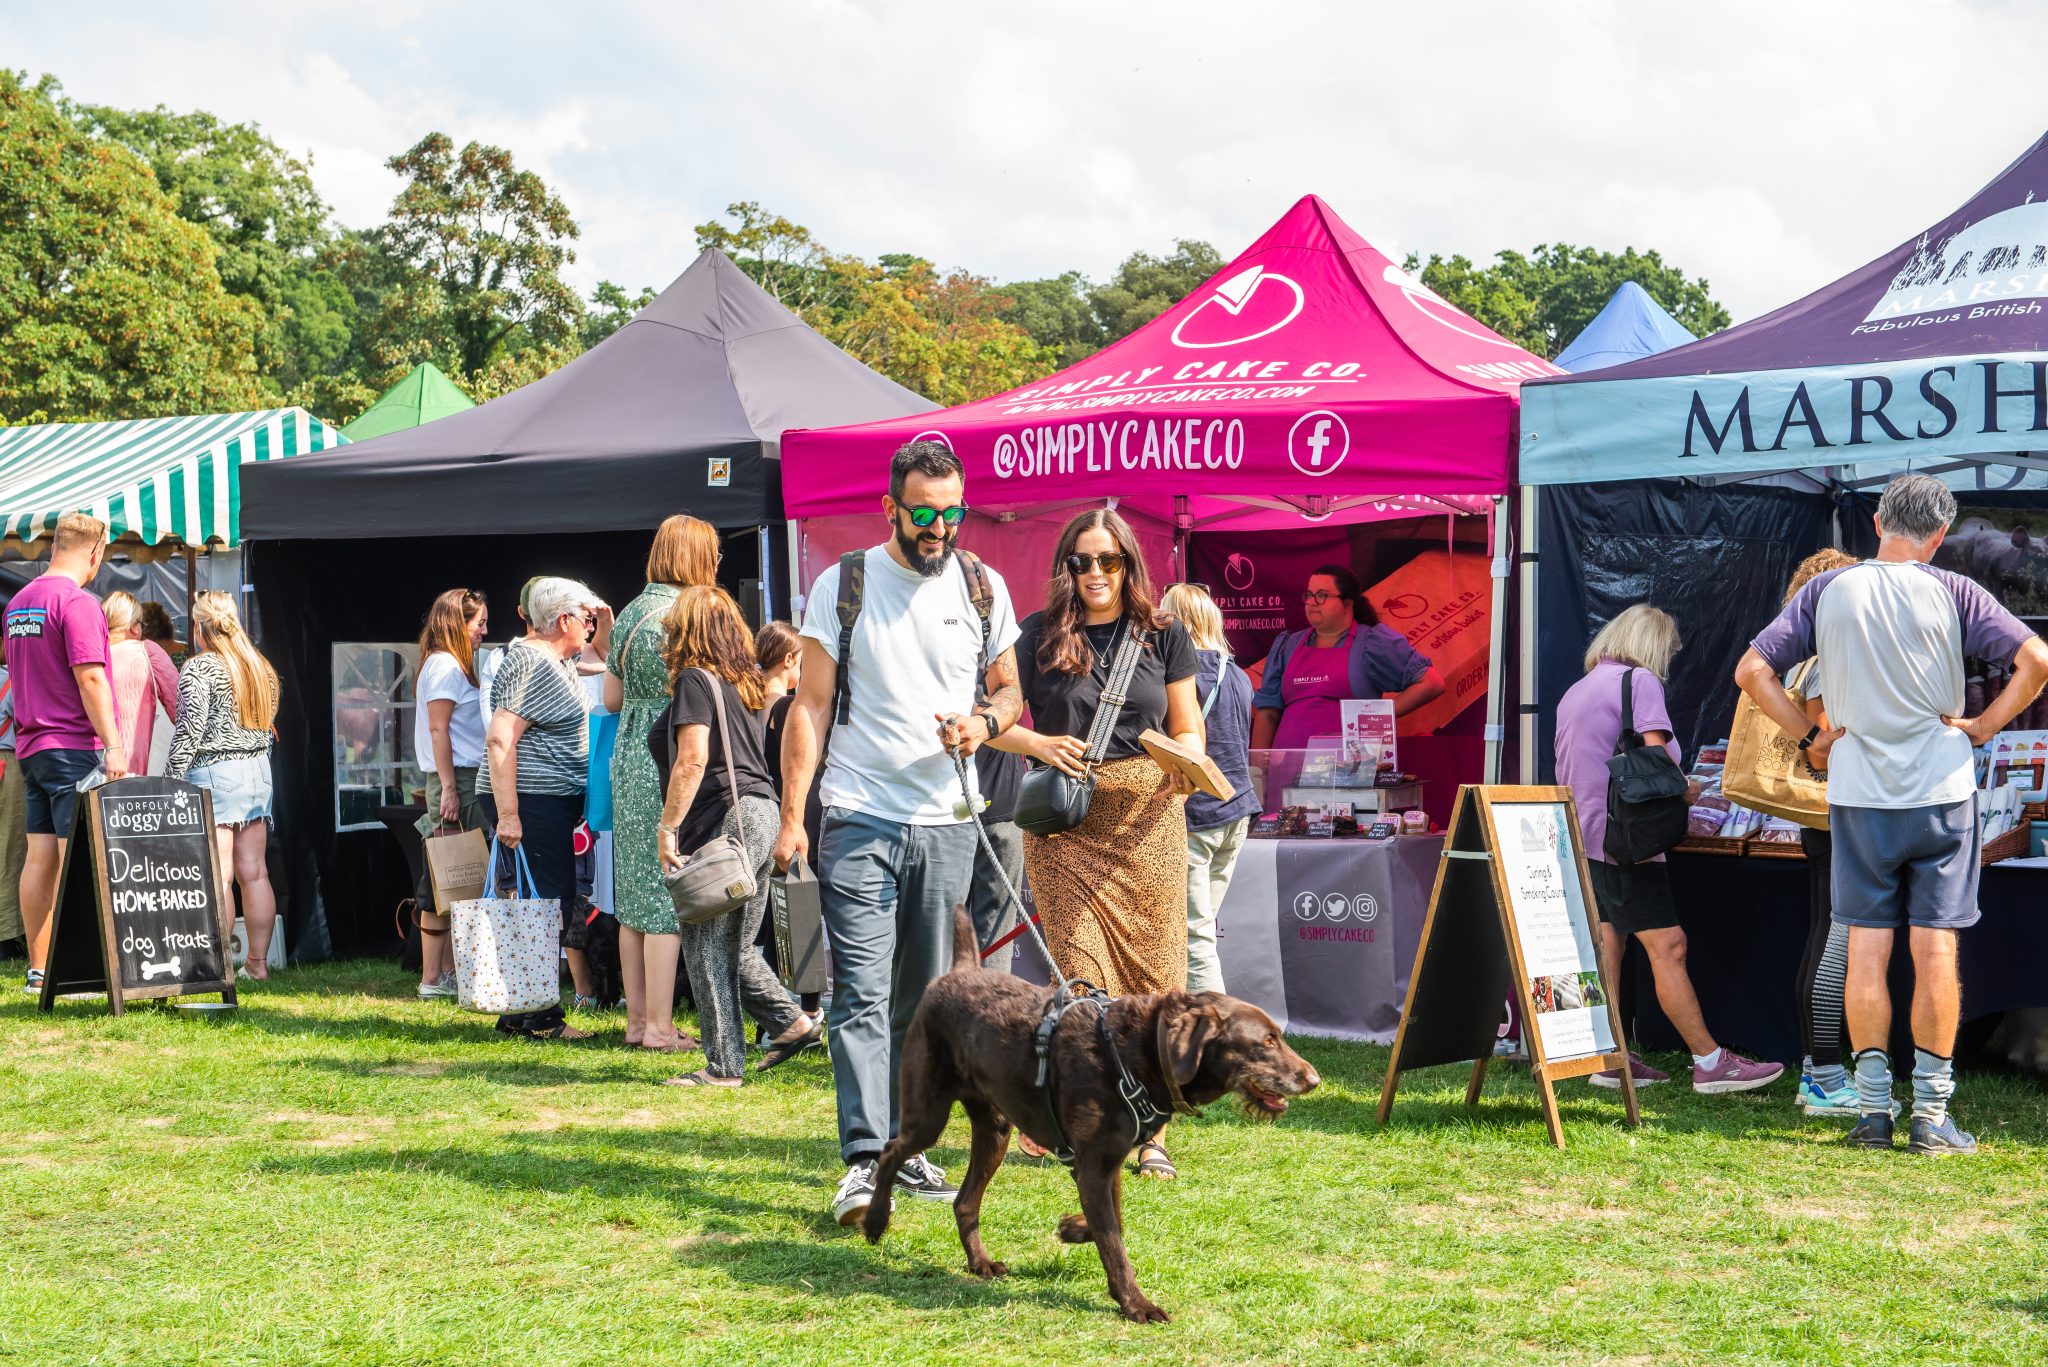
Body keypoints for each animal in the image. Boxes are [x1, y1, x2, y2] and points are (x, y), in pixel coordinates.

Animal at [856, 909, 1318, 1328]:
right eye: (1265, 1042)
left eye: (1278, 1036)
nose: (1313, 1079)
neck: (1140, 1052)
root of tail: (963, 968)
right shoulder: (1094, 1165)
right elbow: (1114, 1243)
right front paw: (1136, 1305)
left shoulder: (1107, 1163)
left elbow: (1115, 1223)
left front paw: (1073, 1229)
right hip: (929, 1112)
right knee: (891, 1151)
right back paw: (876, 1222)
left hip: (995, 1131)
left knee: (965, 1201)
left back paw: (980, 1262)